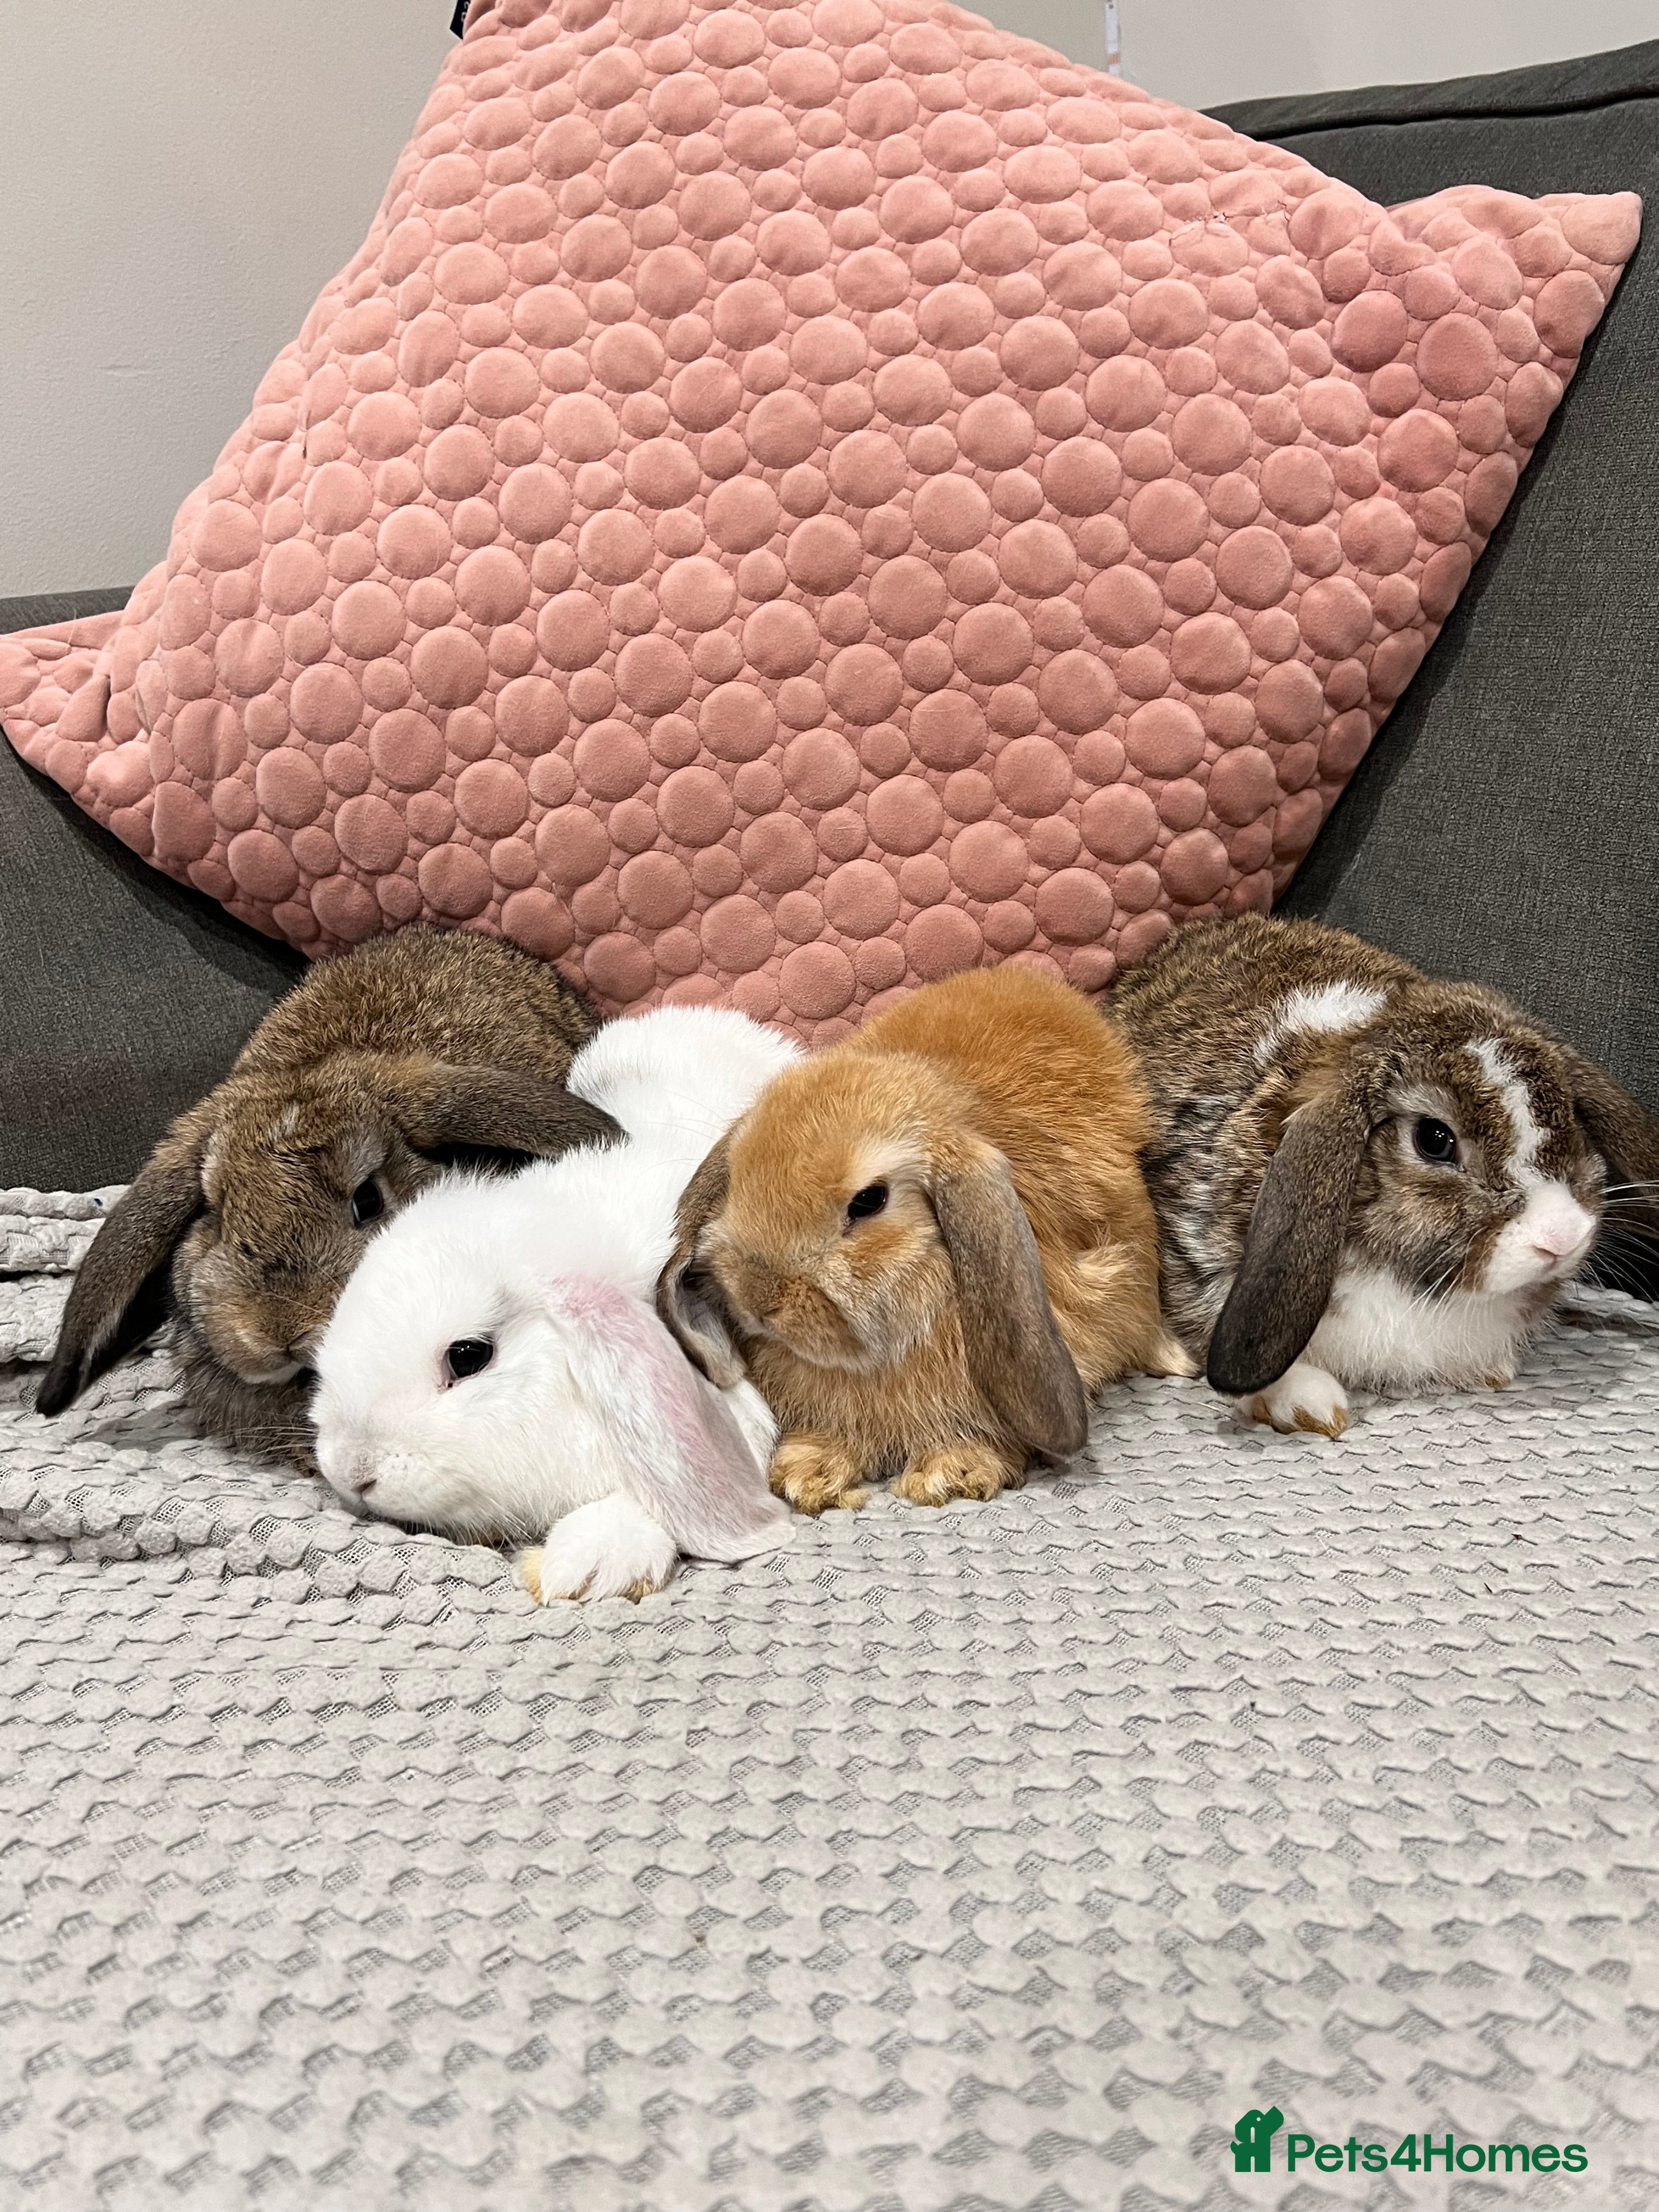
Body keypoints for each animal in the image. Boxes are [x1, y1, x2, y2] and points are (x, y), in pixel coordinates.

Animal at [1111, 913, 1659, 1437]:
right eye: (1435, 1140)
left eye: (1567, 1114)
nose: (1564, 1237)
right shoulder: (1194, 1256)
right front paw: (1308, 1405)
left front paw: (1489, 1370)